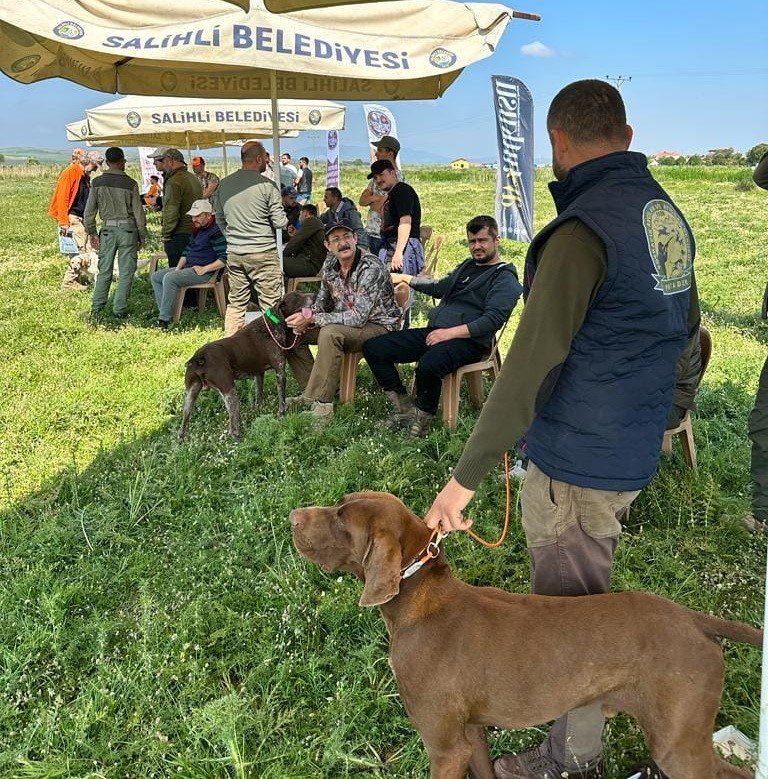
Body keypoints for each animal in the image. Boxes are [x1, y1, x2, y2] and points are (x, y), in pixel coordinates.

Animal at [180, 290, 312, 442]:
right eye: (296, 296)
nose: (314, 296)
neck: (273, 323)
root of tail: (199, 358)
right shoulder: (280, 372)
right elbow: (282, 400)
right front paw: (281, 415)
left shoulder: (259, 374)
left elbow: (258, 397)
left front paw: (259, 411)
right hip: (230, 392)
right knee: (232, 426)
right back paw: (240, 440)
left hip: (191, 395)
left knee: (183, 423)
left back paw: (181, 441)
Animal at [290, 494, 760, 779]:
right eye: (338, 507)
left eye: (341, 521)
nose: (293, 516)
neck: (419, 596)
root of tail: (693, 619)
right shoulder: (471, 735)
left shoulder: (444, 748)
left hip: (677, 745)